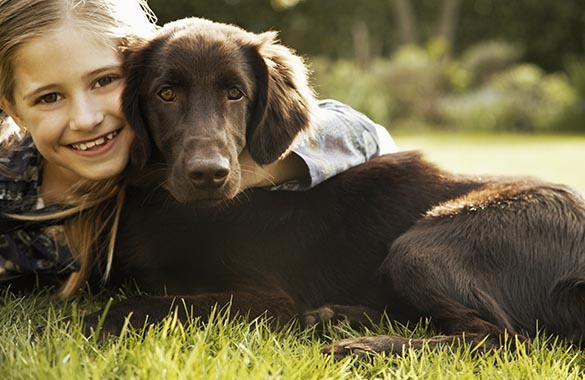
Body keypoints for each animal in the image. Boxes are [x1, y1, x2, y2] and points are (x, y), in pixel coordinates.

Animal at [78, 17, 584, 356]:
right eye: (165, 93)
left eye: (235, 93)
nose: (209, 174)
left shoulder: (266, 299)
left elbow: (147, 305)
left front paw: (77, 323)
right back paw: (335, 317)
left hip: (423, 243)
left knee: (501, 338)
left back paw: (362, 346)